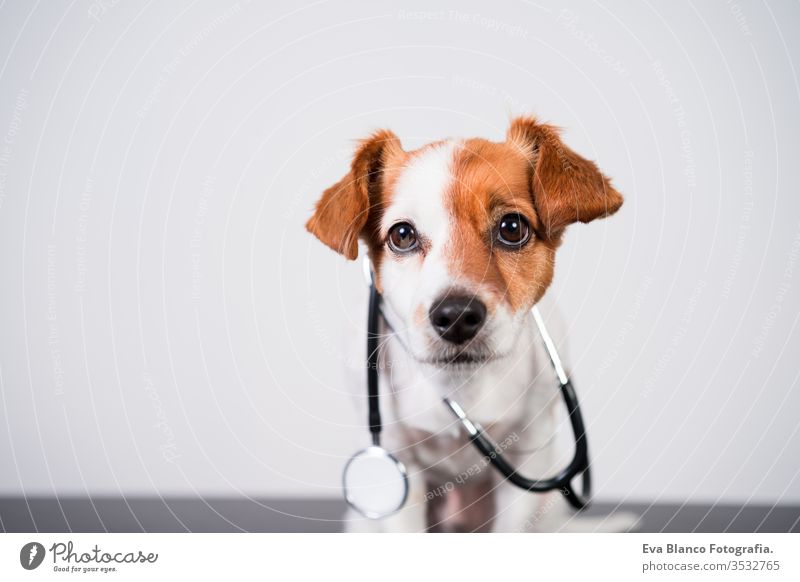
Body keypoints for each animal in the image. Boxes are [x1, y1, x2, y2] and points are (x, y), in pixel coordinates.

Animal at [304, 116, 632, 536]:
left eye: (512, 227)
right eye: (402, 235)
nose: (456, 316)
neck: (462, 383)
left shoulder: (529, 456)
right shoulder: (399, 464)